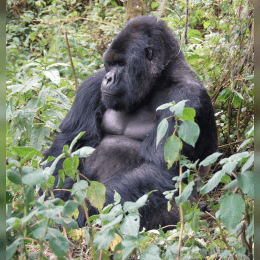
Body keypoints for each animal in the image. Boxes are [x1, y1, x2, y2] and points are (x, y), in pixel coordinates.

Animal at [45, 16, 218, 231]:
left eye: (121, 64)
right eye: (110, 64)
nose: (108, 78)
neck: (158, 82)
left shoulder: (187, 98)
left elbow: (161, 168)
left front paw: (80, 210)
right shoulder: (92, 84)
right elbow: (67, 145)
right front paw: (55, 202)